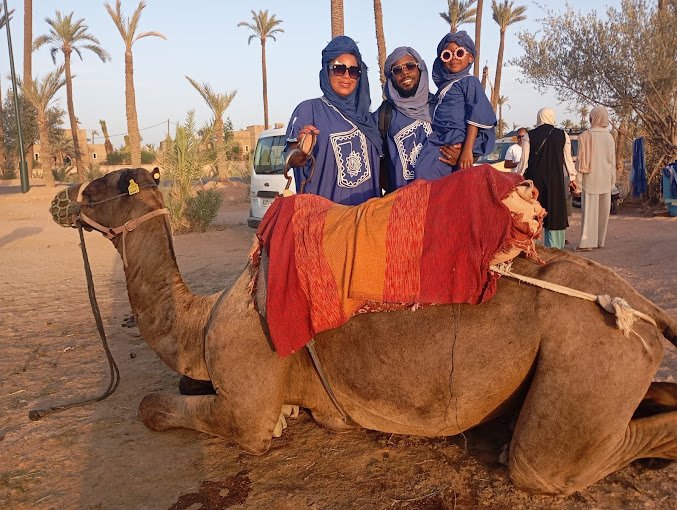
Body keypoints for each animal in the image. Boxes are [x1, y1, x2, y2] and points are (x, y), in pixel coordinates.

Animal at [48, 169, 676, 496]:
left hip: (588, 357)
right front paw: (292, 415)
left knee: (543, 464)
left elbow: (157, 408)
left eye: (102, 185)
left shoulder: (244, 404)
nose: (62, 198)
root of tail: (641, 304)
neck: (202, 322)